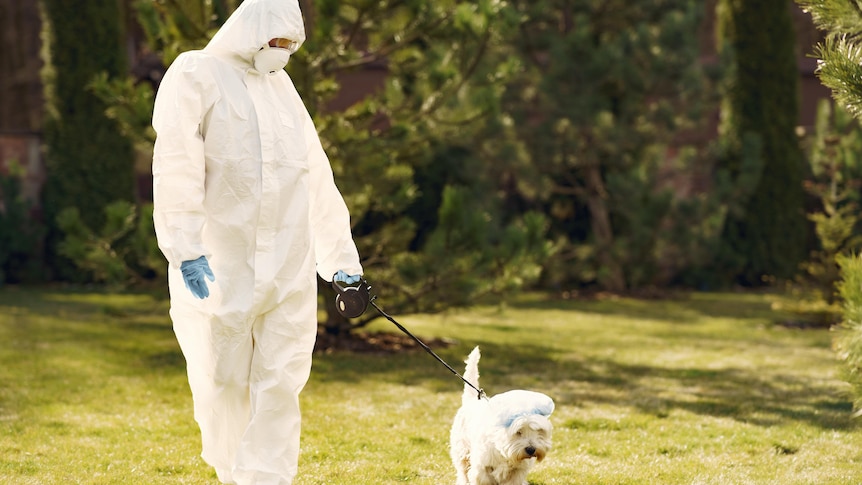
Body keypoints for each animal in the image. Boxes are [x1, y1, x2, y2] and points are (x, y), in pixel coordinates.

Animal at [452, 346, 552, 482]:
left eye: (538, 431)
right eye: (518, 432)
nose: (531, 449)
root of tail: (472, 400)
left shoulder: (517, 471)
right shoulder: (482, 468)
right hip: (462, 450)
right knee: (463, 470)